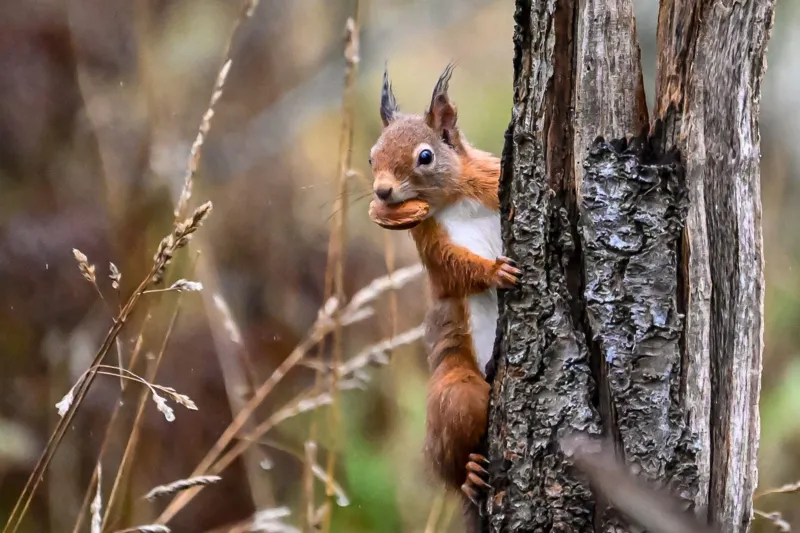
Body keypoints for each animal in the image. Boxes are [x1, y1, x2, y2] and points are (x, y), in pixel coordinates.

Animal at [367, 63, 520, 531]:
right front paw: (494, 271)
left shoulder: (491, 179)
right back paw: (468, 475)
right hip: (457, 393)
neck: (453, 200)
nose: (382, 192)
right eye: (371, 158)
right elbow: (456, 272)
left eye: (425, 156)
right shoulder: (431, 245)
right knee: (451, 464)